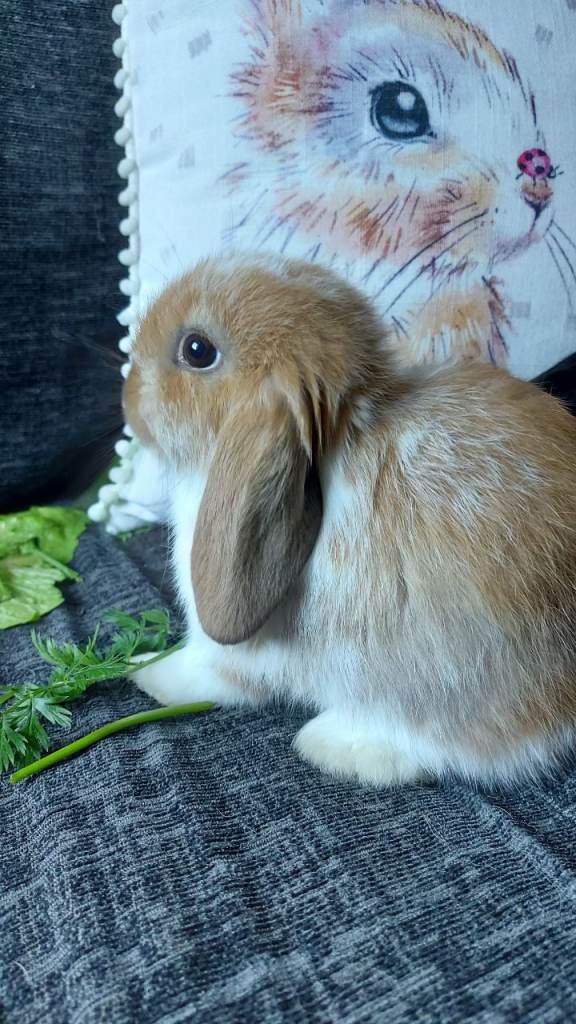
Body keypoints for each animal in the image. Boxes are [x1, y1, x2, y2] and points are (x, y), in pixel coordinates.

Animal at [124, 253, 576, 787]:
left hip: (442, 679)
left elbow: (201, 673)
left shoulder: (225, 654)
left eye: (197, 350)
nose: (128, 394)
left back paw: (334, 744)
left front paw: (142, 671)